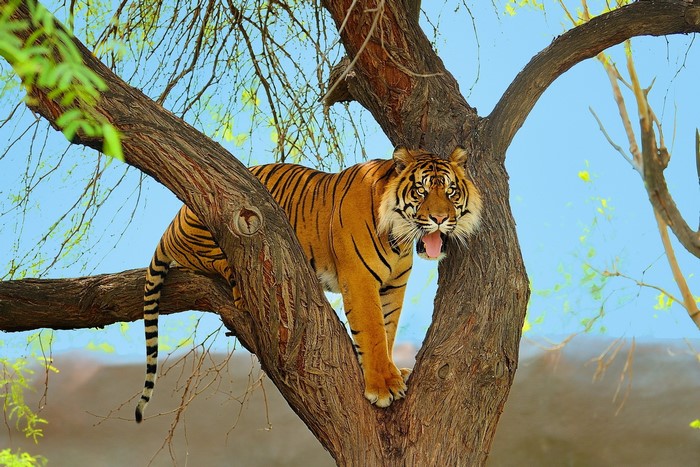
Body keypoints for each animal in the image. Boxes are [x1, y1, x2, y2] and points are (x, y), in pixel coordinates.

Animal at [135, 146, 482, 422]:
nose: (440, 219)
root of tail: (170, 226)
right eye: (420, 191)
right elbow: (372, 331)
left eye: (451, 192)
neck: (399, 239)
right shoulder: (360, 278)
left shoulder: (392, 287)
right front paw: (383, 385)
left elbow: (387, 331)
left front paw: (392, 371)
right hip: (218, 228)